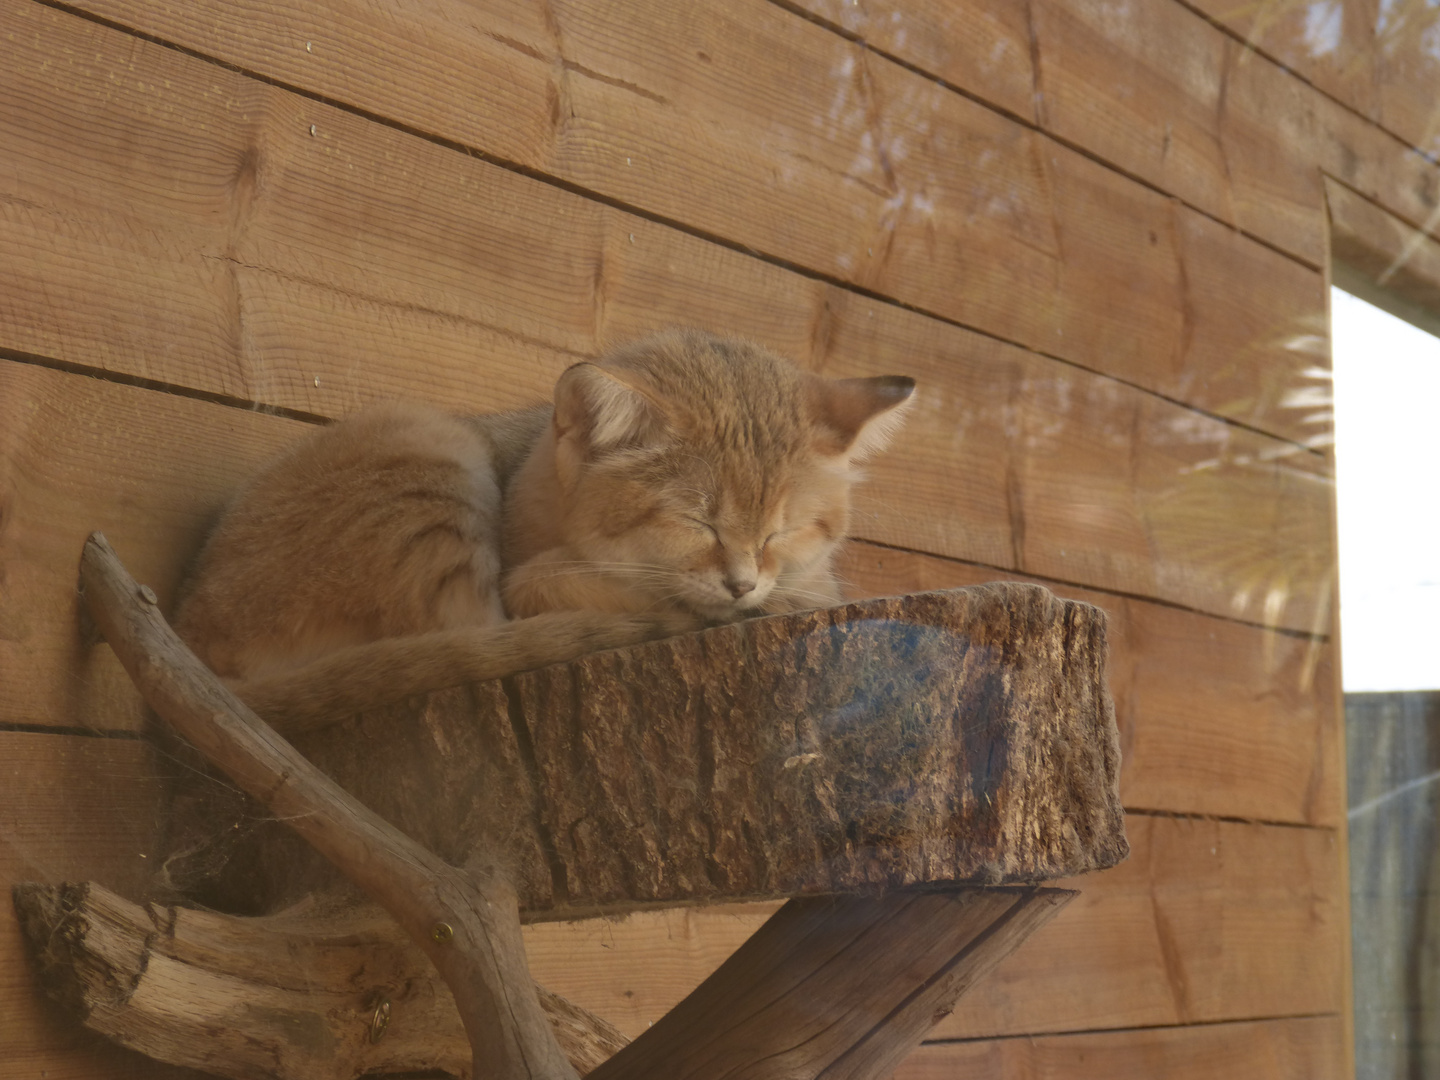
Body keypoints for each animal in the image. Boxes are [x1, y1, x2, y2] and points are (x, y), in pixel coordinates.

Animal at [171, 329, 910, 737]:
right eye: (695, 521)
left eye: (784, 531)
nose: (743, 584)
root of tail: (192, 629)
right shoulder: (526, 576)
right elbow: (552, 586)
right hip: (428, 441)